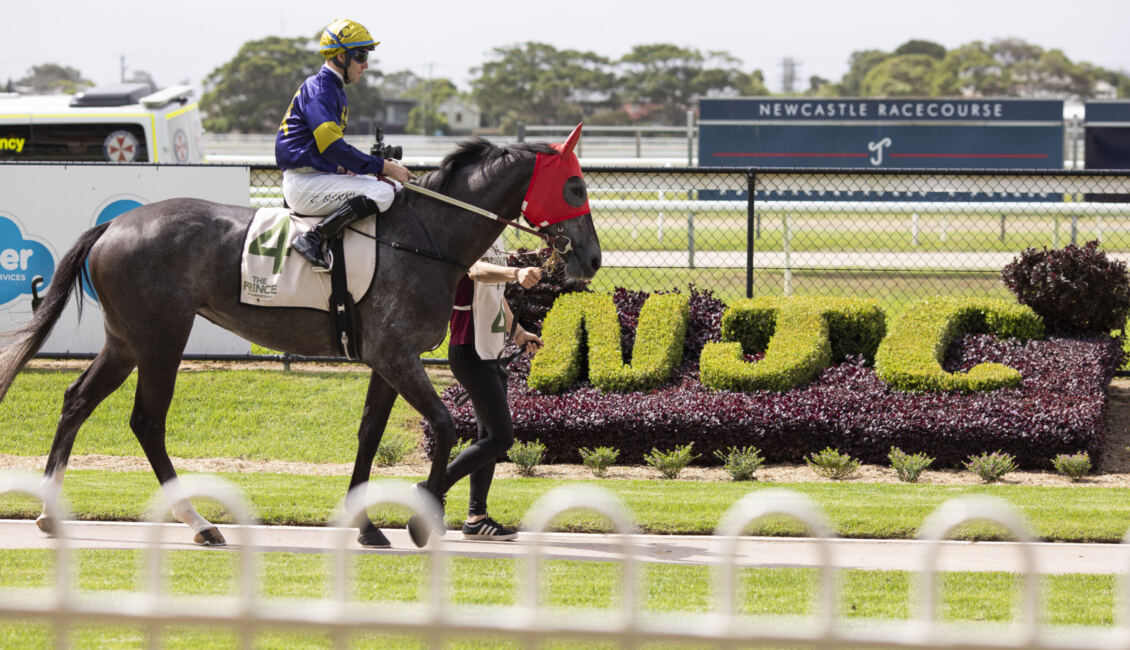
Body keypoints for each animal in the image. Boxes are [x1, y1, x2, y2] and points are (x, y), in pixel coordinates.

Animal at [0, 131, 601, 548]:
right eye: (575, 186)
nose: (592, 258)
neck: (424, 236)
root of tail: (117, 224)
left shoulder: (387, 359)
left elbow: (368, 435)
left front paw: (367, 526)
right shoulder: (395, 354)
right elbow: (446, 425)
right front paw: (418, 520)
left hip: (125, 341)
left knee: (76, 400)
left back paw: (49, 512)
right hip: (160, 340)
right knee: (147, 421)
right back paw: (198, 523)